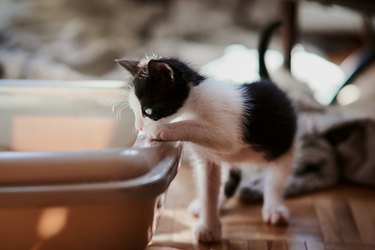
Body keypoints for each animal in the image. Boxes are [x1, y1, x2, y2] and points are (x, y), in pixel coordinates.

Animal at [116, 21, 298, 242]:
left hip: (284, 145)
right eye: (135, 111)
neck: (194, 101)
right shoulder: (207, 158)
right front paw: (209, 227)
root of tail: (268, 82)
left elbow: (198, 127)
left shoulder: (227, 133)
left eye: (148, 111)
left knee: (275, 179)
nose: (140, 127)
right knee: (231, 180)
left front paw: (160, 129)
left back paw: (274, 209)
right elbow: (208, 189)